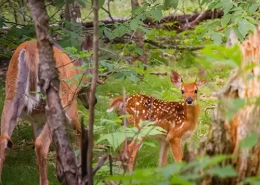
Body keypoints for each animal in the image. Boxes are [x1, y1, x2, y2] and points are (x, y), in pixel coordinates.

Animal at [0, 40, 96, 185]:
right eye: (93, 79)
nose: (94, 101)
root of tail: (30, 48)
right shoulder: (71, 110)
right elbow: (79, 132)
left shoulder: (37, 120)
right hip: (57, 101)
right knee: (41, 144)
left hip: (12, 96)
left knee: (3, 140)